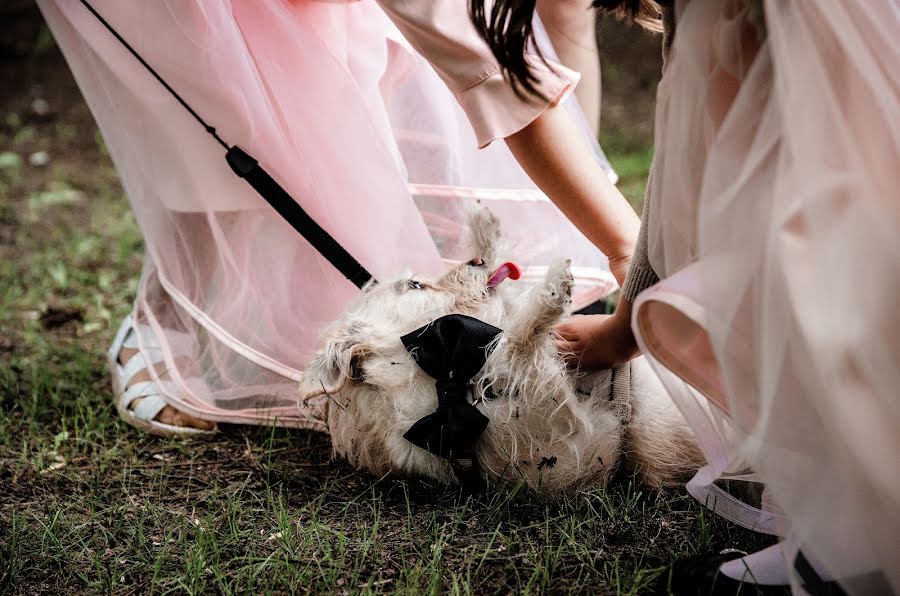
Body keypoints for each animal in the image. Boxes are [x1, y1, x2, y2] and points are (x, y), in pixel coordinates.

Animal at [298, 210, 708, 494]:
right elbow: (518, 346)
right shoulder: (566, 435)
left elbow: (508, 322)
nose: (477, 261)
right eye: (416, 285)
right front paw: (553, 291)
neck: (447, 377)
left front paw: (485, 229)